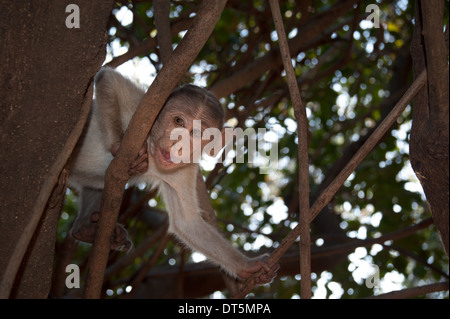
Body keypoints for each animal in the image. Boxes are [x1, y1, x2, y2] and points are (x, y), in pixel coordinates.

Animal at [66, 67, 278, 284]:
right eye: (178, 121)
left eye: (196, 133)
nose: (178, 144)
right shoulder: (142, 114)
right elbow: (108, 78)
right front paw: (118, 147)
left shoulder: (186, 169)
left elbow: (187, 224)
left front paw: (248, 266)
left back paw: (84, 229)